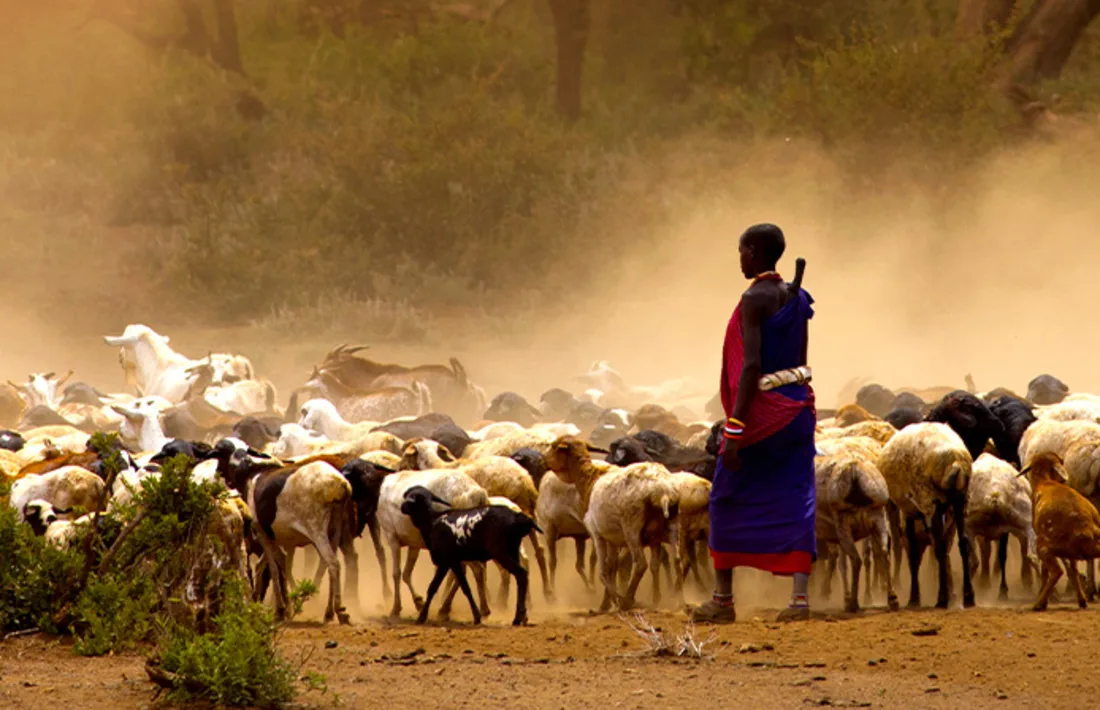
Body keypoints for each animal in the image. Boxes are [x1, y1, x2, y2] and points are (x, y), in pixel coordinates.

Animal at [402, 484, 543, 625]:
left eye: (412, 497)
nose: (402, 507)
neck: (432, 521)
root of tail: (519, 517)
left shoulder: (446, 561)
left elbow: (434, 587)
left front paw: (422, 617)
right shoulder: (453, 562)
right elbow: (464, 587)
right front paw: (477, 616)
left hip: (501, 553)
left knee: (521, 575)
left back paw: (517, 618)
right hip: (513, 551)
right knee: (520, 575)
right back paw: (523, 616)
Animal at [875, 420, 981, 607]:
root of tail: (955, 462)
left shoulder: (910, 507)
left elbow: (913, 551)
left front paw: (914, 598)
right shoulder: (913, 509)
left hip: (931, 500)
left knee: (939, 547)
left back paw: (942, 598)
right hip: (960, 500)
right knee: (962, 543)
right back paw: (968, 596)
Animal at [1016, 449, 1100, 607]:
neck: (1045, 481)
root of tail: (1084, 529)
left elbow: (1045, 571)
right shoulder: (1072, 555)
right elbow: (1073, 569)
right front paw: (1081, 599)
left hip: (1045, 545)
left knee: (1056, 571)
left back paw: (1039, 604)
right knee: (1069, 569)